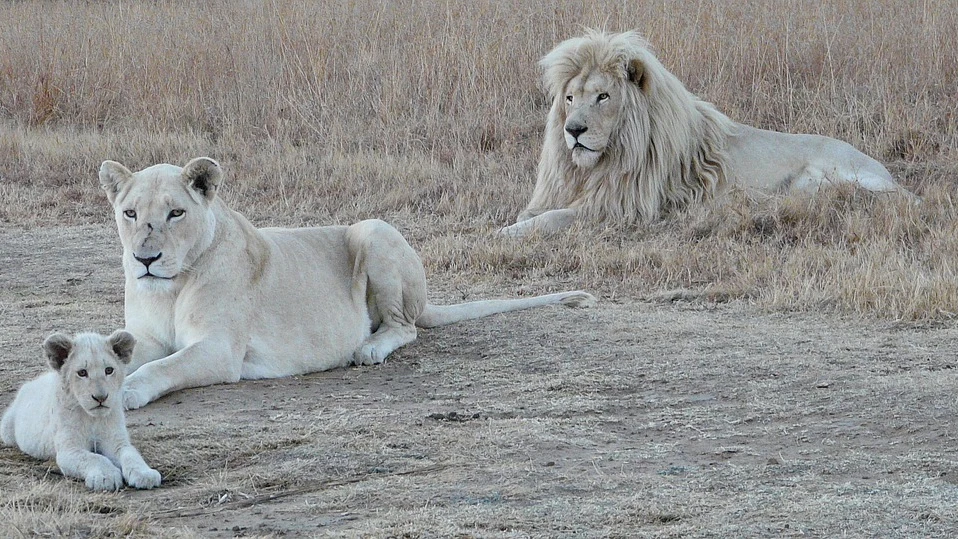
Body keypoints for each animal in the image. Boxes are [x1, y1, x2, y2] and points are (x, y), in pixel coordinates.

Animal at [1, 331, 162, 491]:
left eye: (109, 370)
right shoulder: (69, 449)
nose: (101, 397)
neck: (93, 419)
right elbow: (94, 458)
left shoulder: (116, 441)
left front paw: (145, 474)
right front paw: (105, 476)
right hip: (7, 431)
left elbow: (131, 454)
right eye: (82, 373)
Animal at [98, 157, 596, 410]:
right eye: (130, 213)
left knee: (405, 327)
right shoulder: (144, 337)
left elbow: (164, 367)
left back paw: (369, 348)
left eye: (175, 213)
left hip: (372, 230)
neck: (171, 287)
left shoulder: (220, 349)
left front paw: (129, 391)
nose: (145, 259)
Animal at [500, 30, 915, 237]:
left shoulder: (622, 209)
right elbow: (535, 212)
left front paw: (506, 233)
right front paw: (517, 221)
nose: (573, 130)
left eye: (603, 96)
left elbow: (554, 218)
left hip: (838, 174)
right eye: (570, 98)